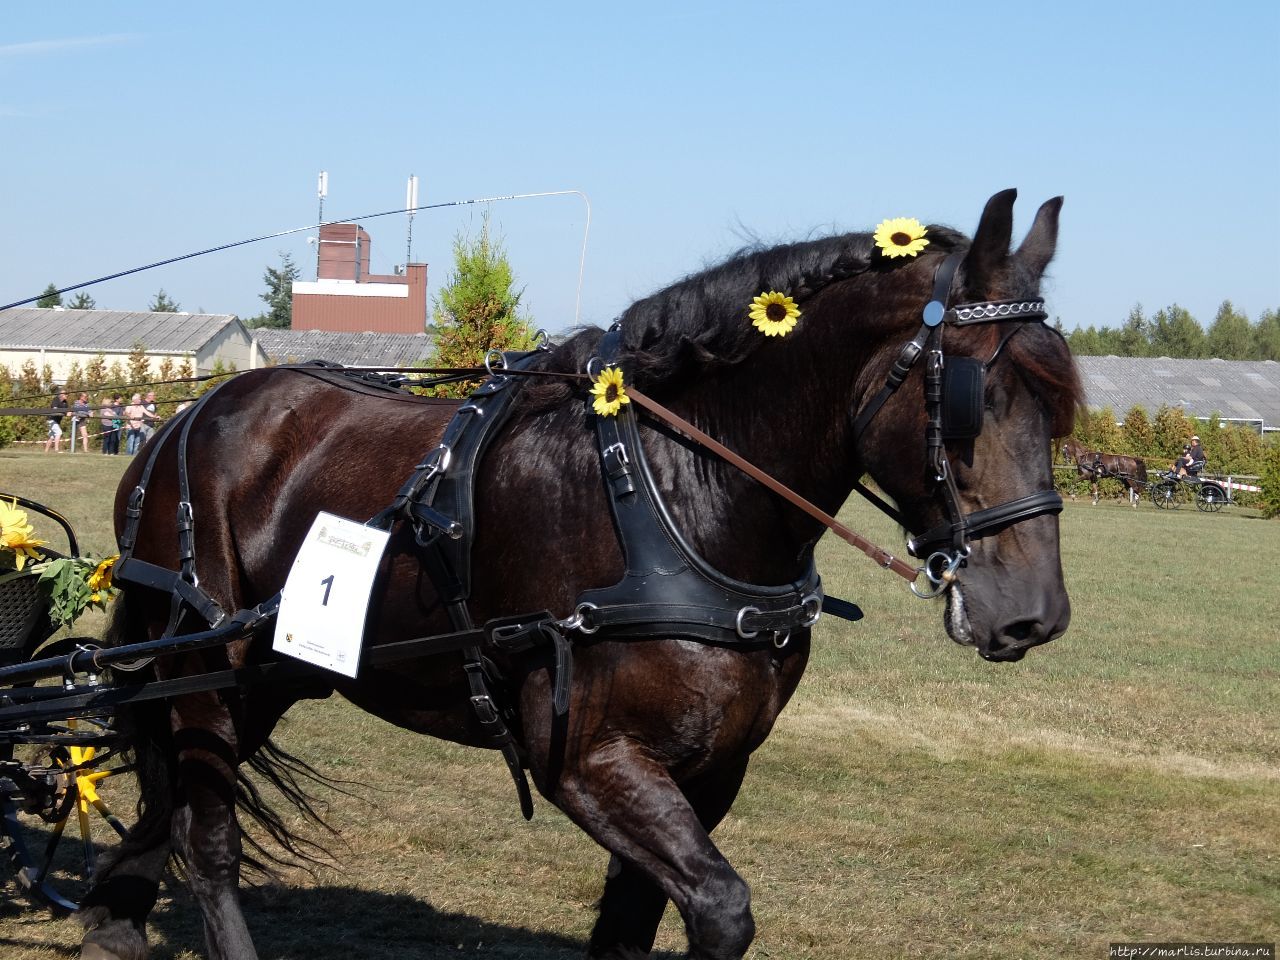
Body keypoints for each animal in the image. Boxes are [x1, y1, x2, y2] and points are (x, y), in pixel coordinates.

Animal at [77, 192, 1080, 960]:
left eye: (1061, 405)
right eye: (974, 399)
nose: (1033, 614)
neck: (673, 497)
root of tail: (180, 425)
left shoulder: (711, 769)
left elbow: (635, 923)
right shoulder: (589, 761)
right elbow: (722, 909)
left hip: (267, 681)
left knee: (170, 807)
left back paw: (112, 917)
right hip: (203, 671)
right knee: (208, 838)